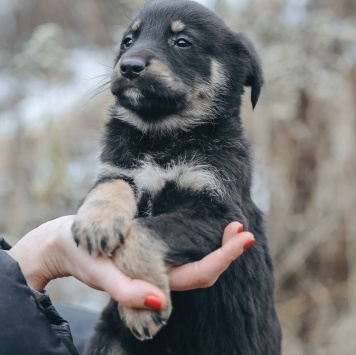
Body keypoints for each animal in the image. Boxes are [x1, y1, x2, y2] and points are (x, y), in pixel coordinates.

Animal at [73, 0, 282, 355]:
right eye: (128, 41)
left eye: (182, 42)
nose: (128, 67)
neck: (163, 138)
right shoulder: (119, 169)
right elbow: (111, 187)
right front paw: (97, 223)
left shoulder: (219, 209)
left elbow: (147, 231)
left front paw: (142, 304)